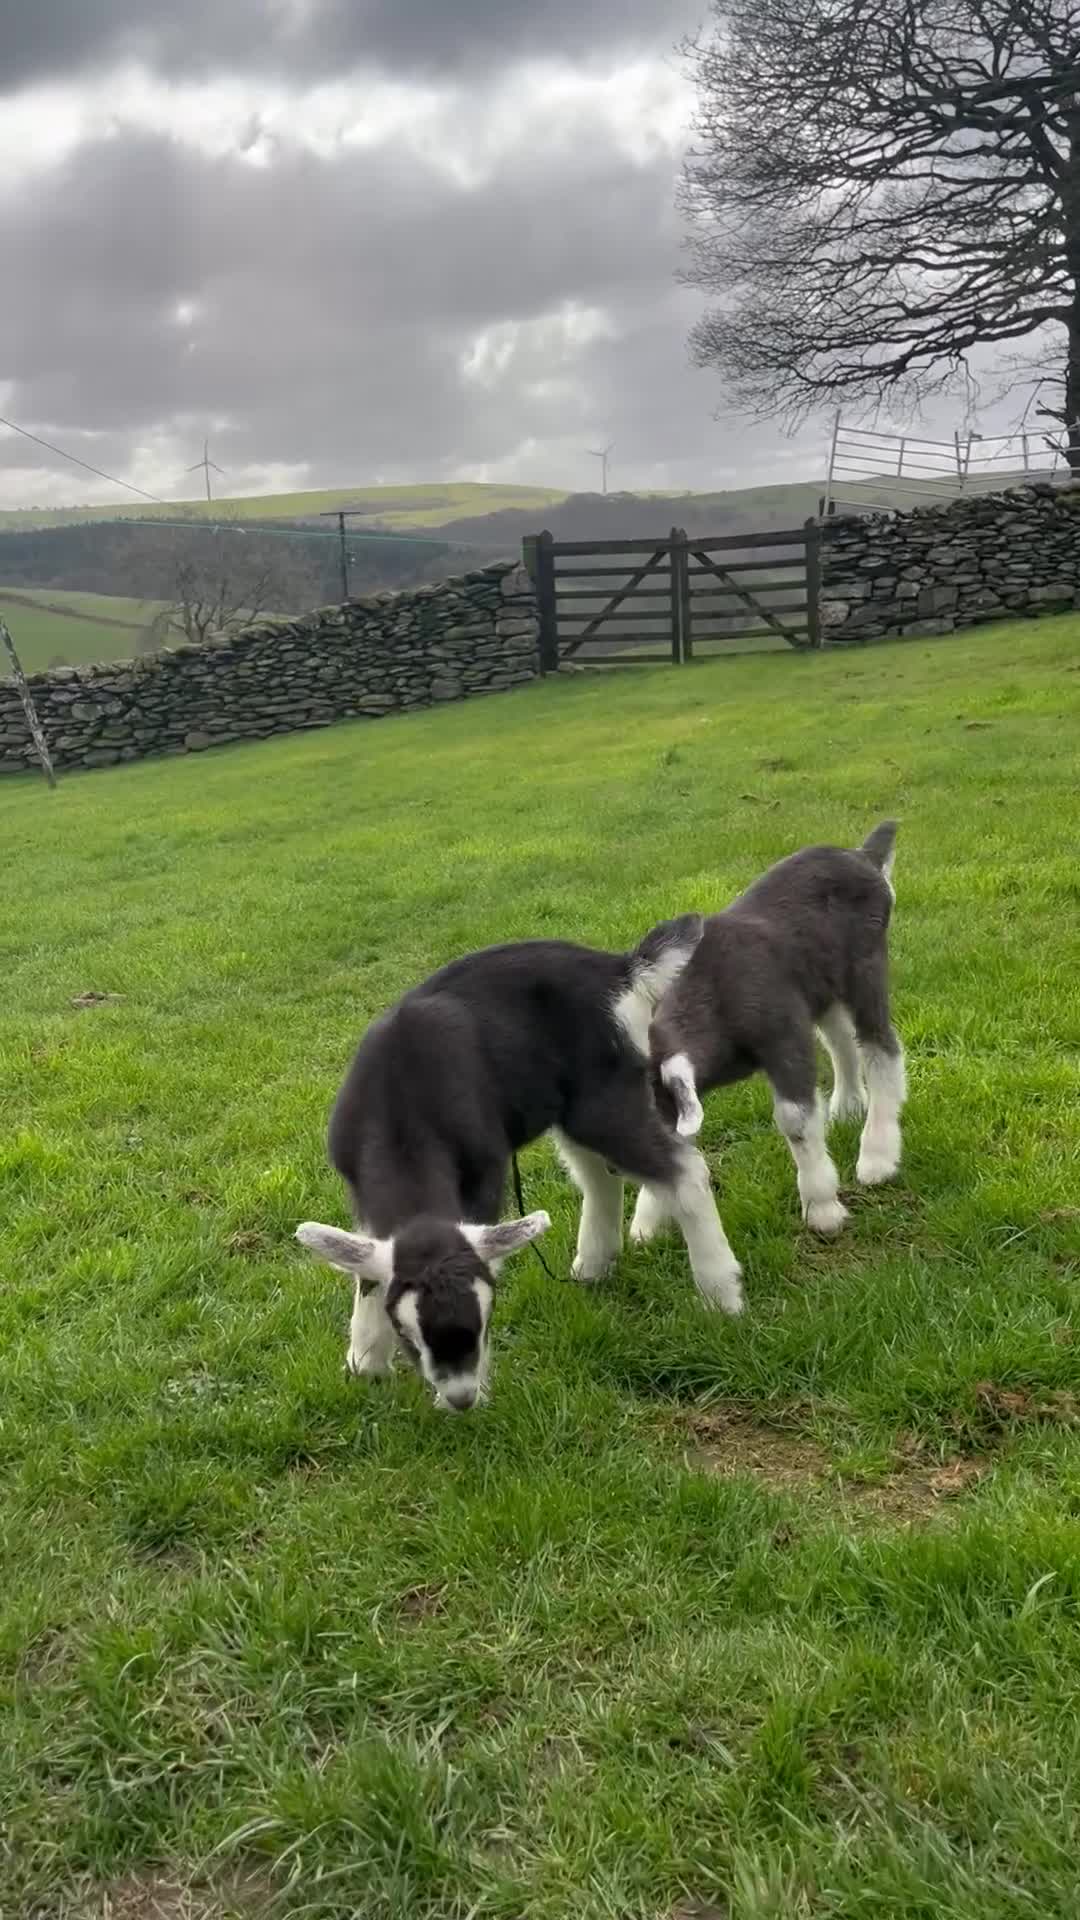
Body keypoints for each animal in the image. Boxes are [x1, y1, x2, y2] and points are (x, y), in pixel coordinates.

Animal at [296, 916, 747, 1412]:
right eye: (407, 1332)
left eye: (485, 1319)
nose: (460, 1399)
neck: (400, 1109)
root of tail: (622, 969)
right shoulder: (360, 1191)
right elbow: (365, 1267)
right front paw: (365, 1363)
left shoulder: (485, 1169)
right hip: (572, 1110)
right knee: (599, 1175)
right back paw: (593, 1265)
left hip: (603, 1099)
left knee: (682, 1169)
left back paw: (721, 1293)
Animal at [634, 822, 906, 1260]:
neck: (714, 991)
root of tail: (864, 855)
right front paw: (646, 1223)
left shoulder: (784, 1039)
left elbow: (795, 1119)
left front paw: (822, 1209)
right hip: (820, 983)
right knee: (840, 1039)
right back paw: (848, 1106)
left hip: (866, 966)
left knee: (881, 1046)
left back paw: (877, 1157)